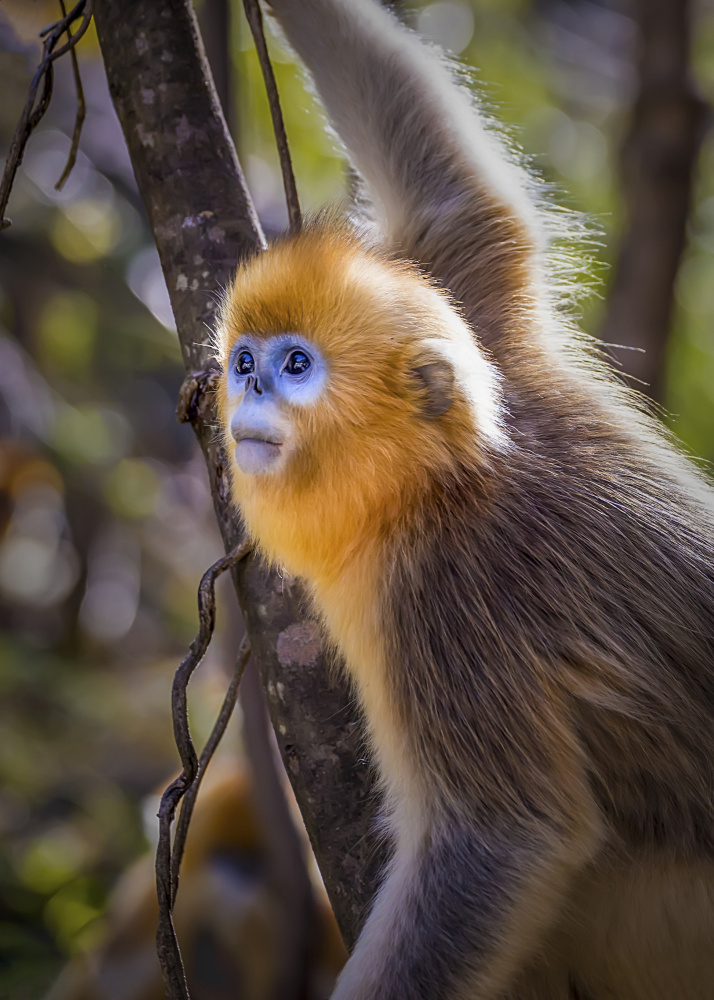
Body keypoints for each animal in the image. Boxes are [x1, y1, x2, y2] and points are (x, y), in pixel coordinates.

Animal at [214, 1, 712, 1000]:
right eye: (246, 360)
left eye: (296, 365)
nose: (246, 395)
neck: (443, 480)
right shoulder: (480, 323)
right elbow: (462, 198)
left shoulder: (440, 605)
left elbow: (498, 840)